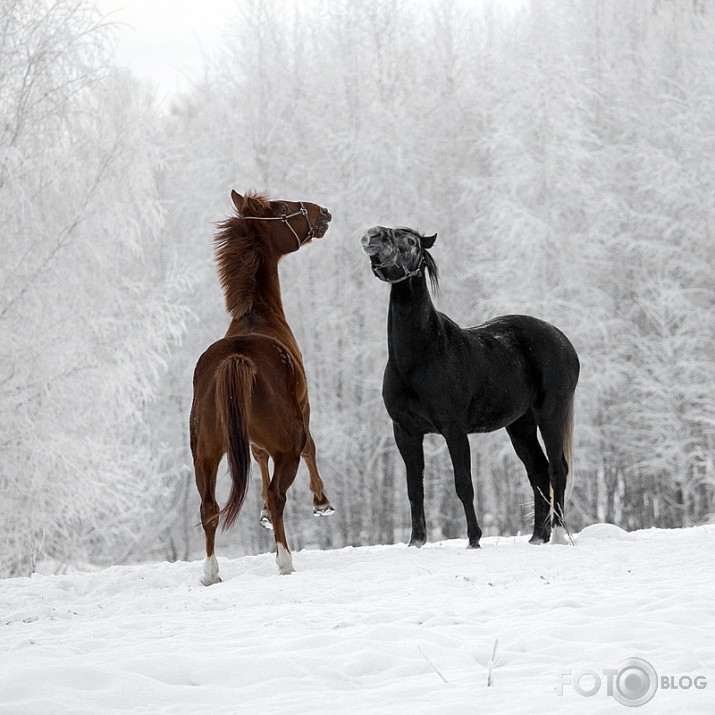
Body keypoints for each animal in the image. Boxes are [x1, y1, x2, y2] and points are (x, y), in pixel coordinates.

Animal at [190, 190, 336, 580]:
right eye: (284, 209)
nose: (323, 212)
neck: (259, 315)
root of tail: (236, 359)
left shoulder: (251, 440)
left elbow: (257, 457)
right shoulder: (304, 409)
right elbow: (311, 448)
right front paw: (321, 502)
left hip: (204, 453)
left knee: (208, 507)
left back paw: (211, 571)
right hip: (286, 444)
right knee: (277, 491)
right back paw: (285, 559)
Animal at [360, 227, 580, 544]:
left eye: (411, 242)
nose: (373, 236)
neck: (421, 357)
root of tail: (563, 341)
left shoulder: (454, 429)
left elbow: (463, 484)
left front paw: (474, 539)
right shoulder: (405, 431)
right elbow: (414, 489)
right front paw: (417, 541)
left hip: (550, 415)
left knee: (556, 469)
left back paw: (560, 534)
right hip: (520, 425)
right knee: (537, 472)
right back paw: (538, 536)